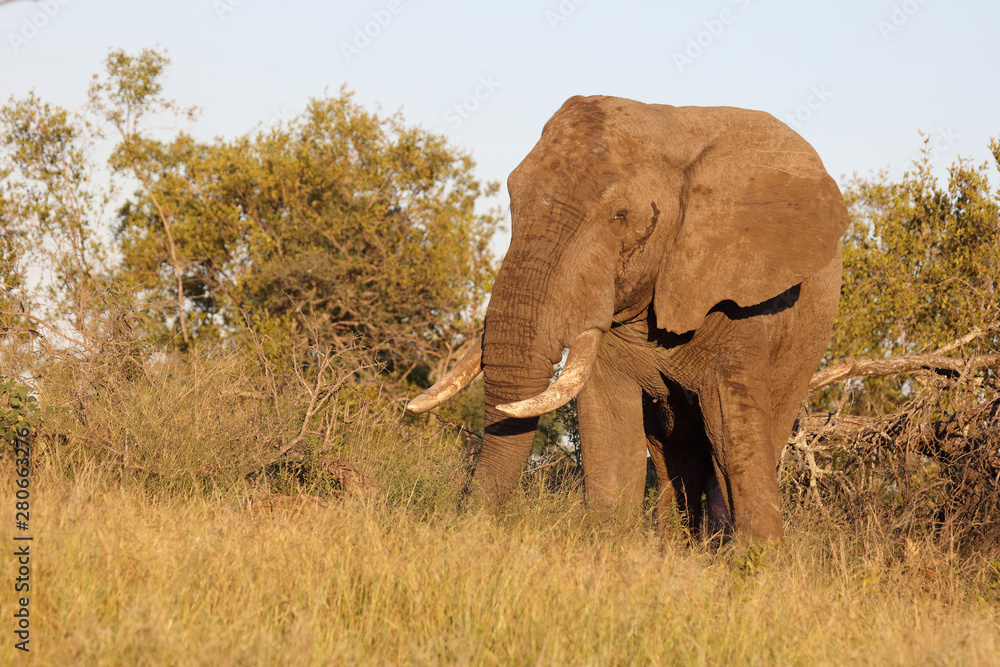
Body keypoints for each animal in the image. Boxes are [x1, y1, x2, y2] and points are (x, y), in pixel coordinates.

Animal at [407, 95, 848, 541]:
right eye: (513, 200)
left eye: (620, 217)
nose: (466, 523)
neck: (671, 128)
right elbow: (611, 427)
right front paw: (609, 544)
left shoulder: (743, 292)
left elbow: (732, 434)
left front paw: (757, 556)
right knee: (679, 458)